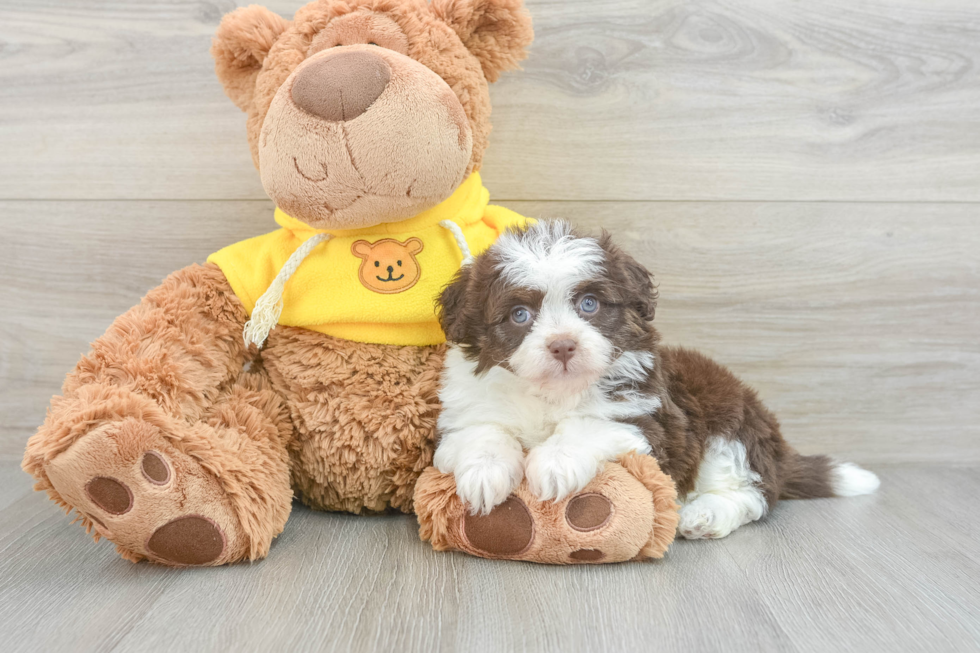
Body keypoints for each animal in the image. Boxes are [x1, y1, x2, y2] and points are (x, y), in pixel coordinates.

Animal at [432, 222, 876, 536]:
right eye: (519, 315)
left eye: (589, 304)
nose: (563, 346)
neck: (551, 393)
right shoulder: (466, 411)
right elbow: (483, 432)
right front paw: (483, 475)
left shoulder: (646, 420)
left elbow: (588, 425)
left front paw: (555, 464)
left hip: (729, 429)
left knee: (752, 494)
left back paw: (704, 515)